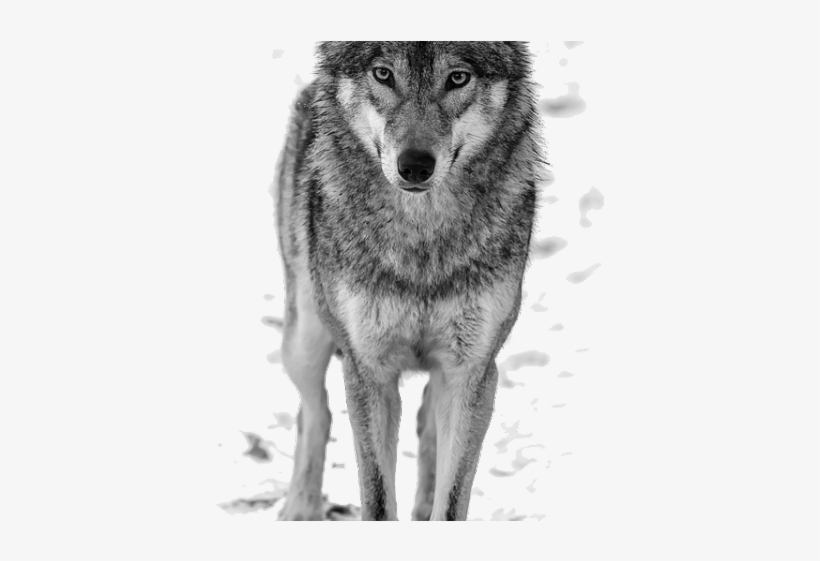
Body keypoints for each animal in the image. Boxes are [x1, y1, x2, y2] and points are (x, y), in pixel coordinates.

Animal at [273, 42, 545, 521]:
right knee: (314, 413)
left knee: (424, 426)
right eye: (383, 74)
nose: (415, 166)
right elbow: (377, 498)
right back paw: (300, 508)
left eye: (457, 78)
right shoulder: (368, 371)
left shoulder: (472, 371)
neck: (421, 242)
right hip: (304, 339)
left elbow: (451, 500)